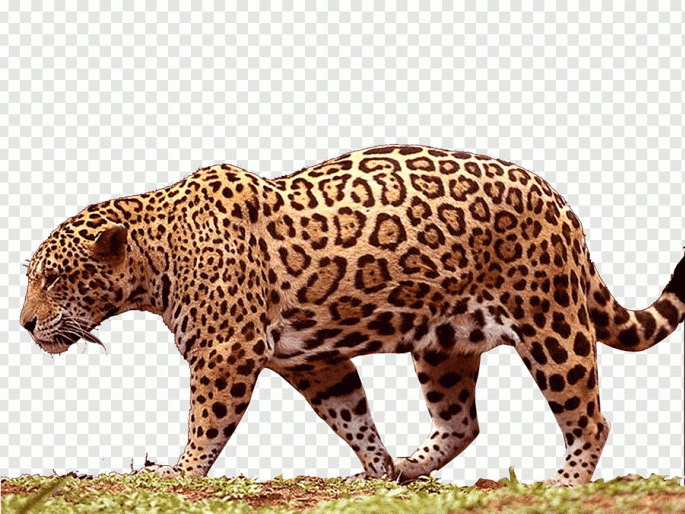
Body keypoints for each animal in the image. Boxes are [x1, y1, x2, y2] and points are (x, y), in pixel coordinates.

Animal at [20, 145, 685, 486]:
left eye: (52, 279)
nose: (24, 324)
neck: (157, 255)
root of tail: (562, 203)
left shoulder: (226, 354)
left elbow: (206, 422)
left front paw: (178, 474)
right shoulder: (313, 362)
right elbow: (351, 414)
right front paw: (376, 469)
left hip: (550, 321)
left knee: (590, 417)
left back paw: (564, 484)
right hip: (444, 343)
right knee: (461, 422)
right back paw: (410, 466)